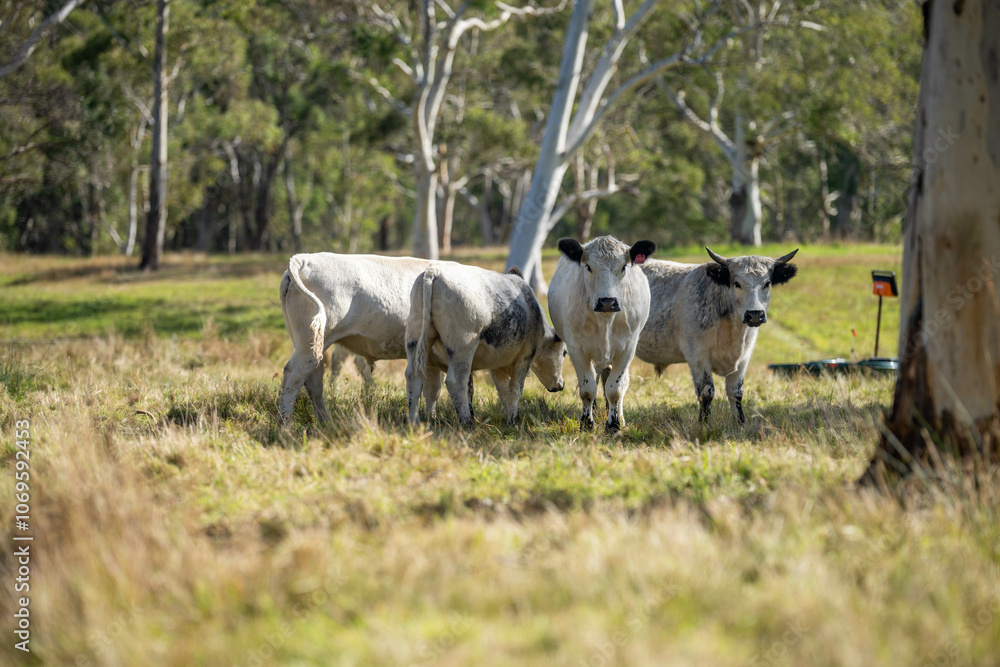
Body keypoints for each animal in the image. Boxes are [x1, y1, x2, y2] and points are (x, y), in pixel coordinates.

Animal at [278, 253, 440, 425]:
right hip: (310, 343)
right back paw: (285, 424)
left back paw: (326, 422)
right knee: (294, 374)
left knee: (313, 381)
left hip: (313, 345)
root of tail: (303, 259)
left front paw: (431, 417)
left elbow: (432, 387)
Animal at [405, 263, 566, 428]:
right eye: (564, 352)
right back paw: (467, 423)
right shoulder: (525, 356)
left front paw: (509, 420)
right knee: (455, 381)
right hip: (462, 348)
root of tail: (433, 271)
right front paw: (514, 421)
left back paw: (414, 422)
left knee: (414, 377)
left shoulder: (497, 363)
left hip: (415, 341)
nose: (560, 385)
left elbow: (502, 392)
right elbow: (515, 389)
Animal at [547, 235, 657, 433]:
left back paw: (619, 417)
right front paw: (586, 423)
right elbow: (588, 389)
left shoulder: (627, 349)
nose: (607, 302)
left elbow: (615, 389)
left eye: (623, 267)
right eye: (589, 267)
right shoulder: (576, 349)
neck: (605, 320)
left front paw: (613, 425)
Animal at [636, 247, 799, 424]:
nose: (755, 315)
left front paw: (740, 423)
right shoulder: (697, 356)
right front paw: (704, 425)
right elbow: (706, 392)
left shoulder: (744, 357)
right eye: (737, 283)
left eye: (767, 283)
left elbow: (736, 392)